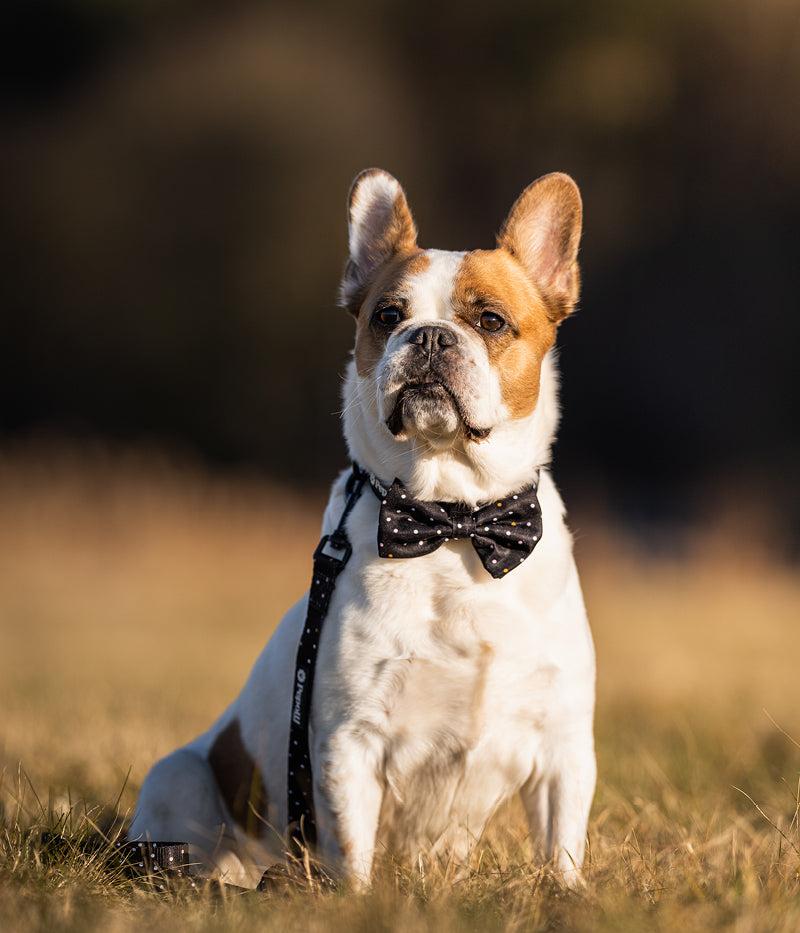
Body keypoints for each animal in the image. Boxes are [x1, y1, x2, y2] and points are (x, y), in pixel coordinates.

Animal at [130, 167, 592, 888]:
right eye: (387, 316)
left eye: (490, 320)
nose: (428, 336)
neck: (454, 520)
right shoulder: (351, 740)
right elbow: (354, 854)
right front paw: (357, 898)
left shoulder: (564, 748)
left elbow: (562, 849)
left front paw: (567, 897)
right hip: (178, 777)